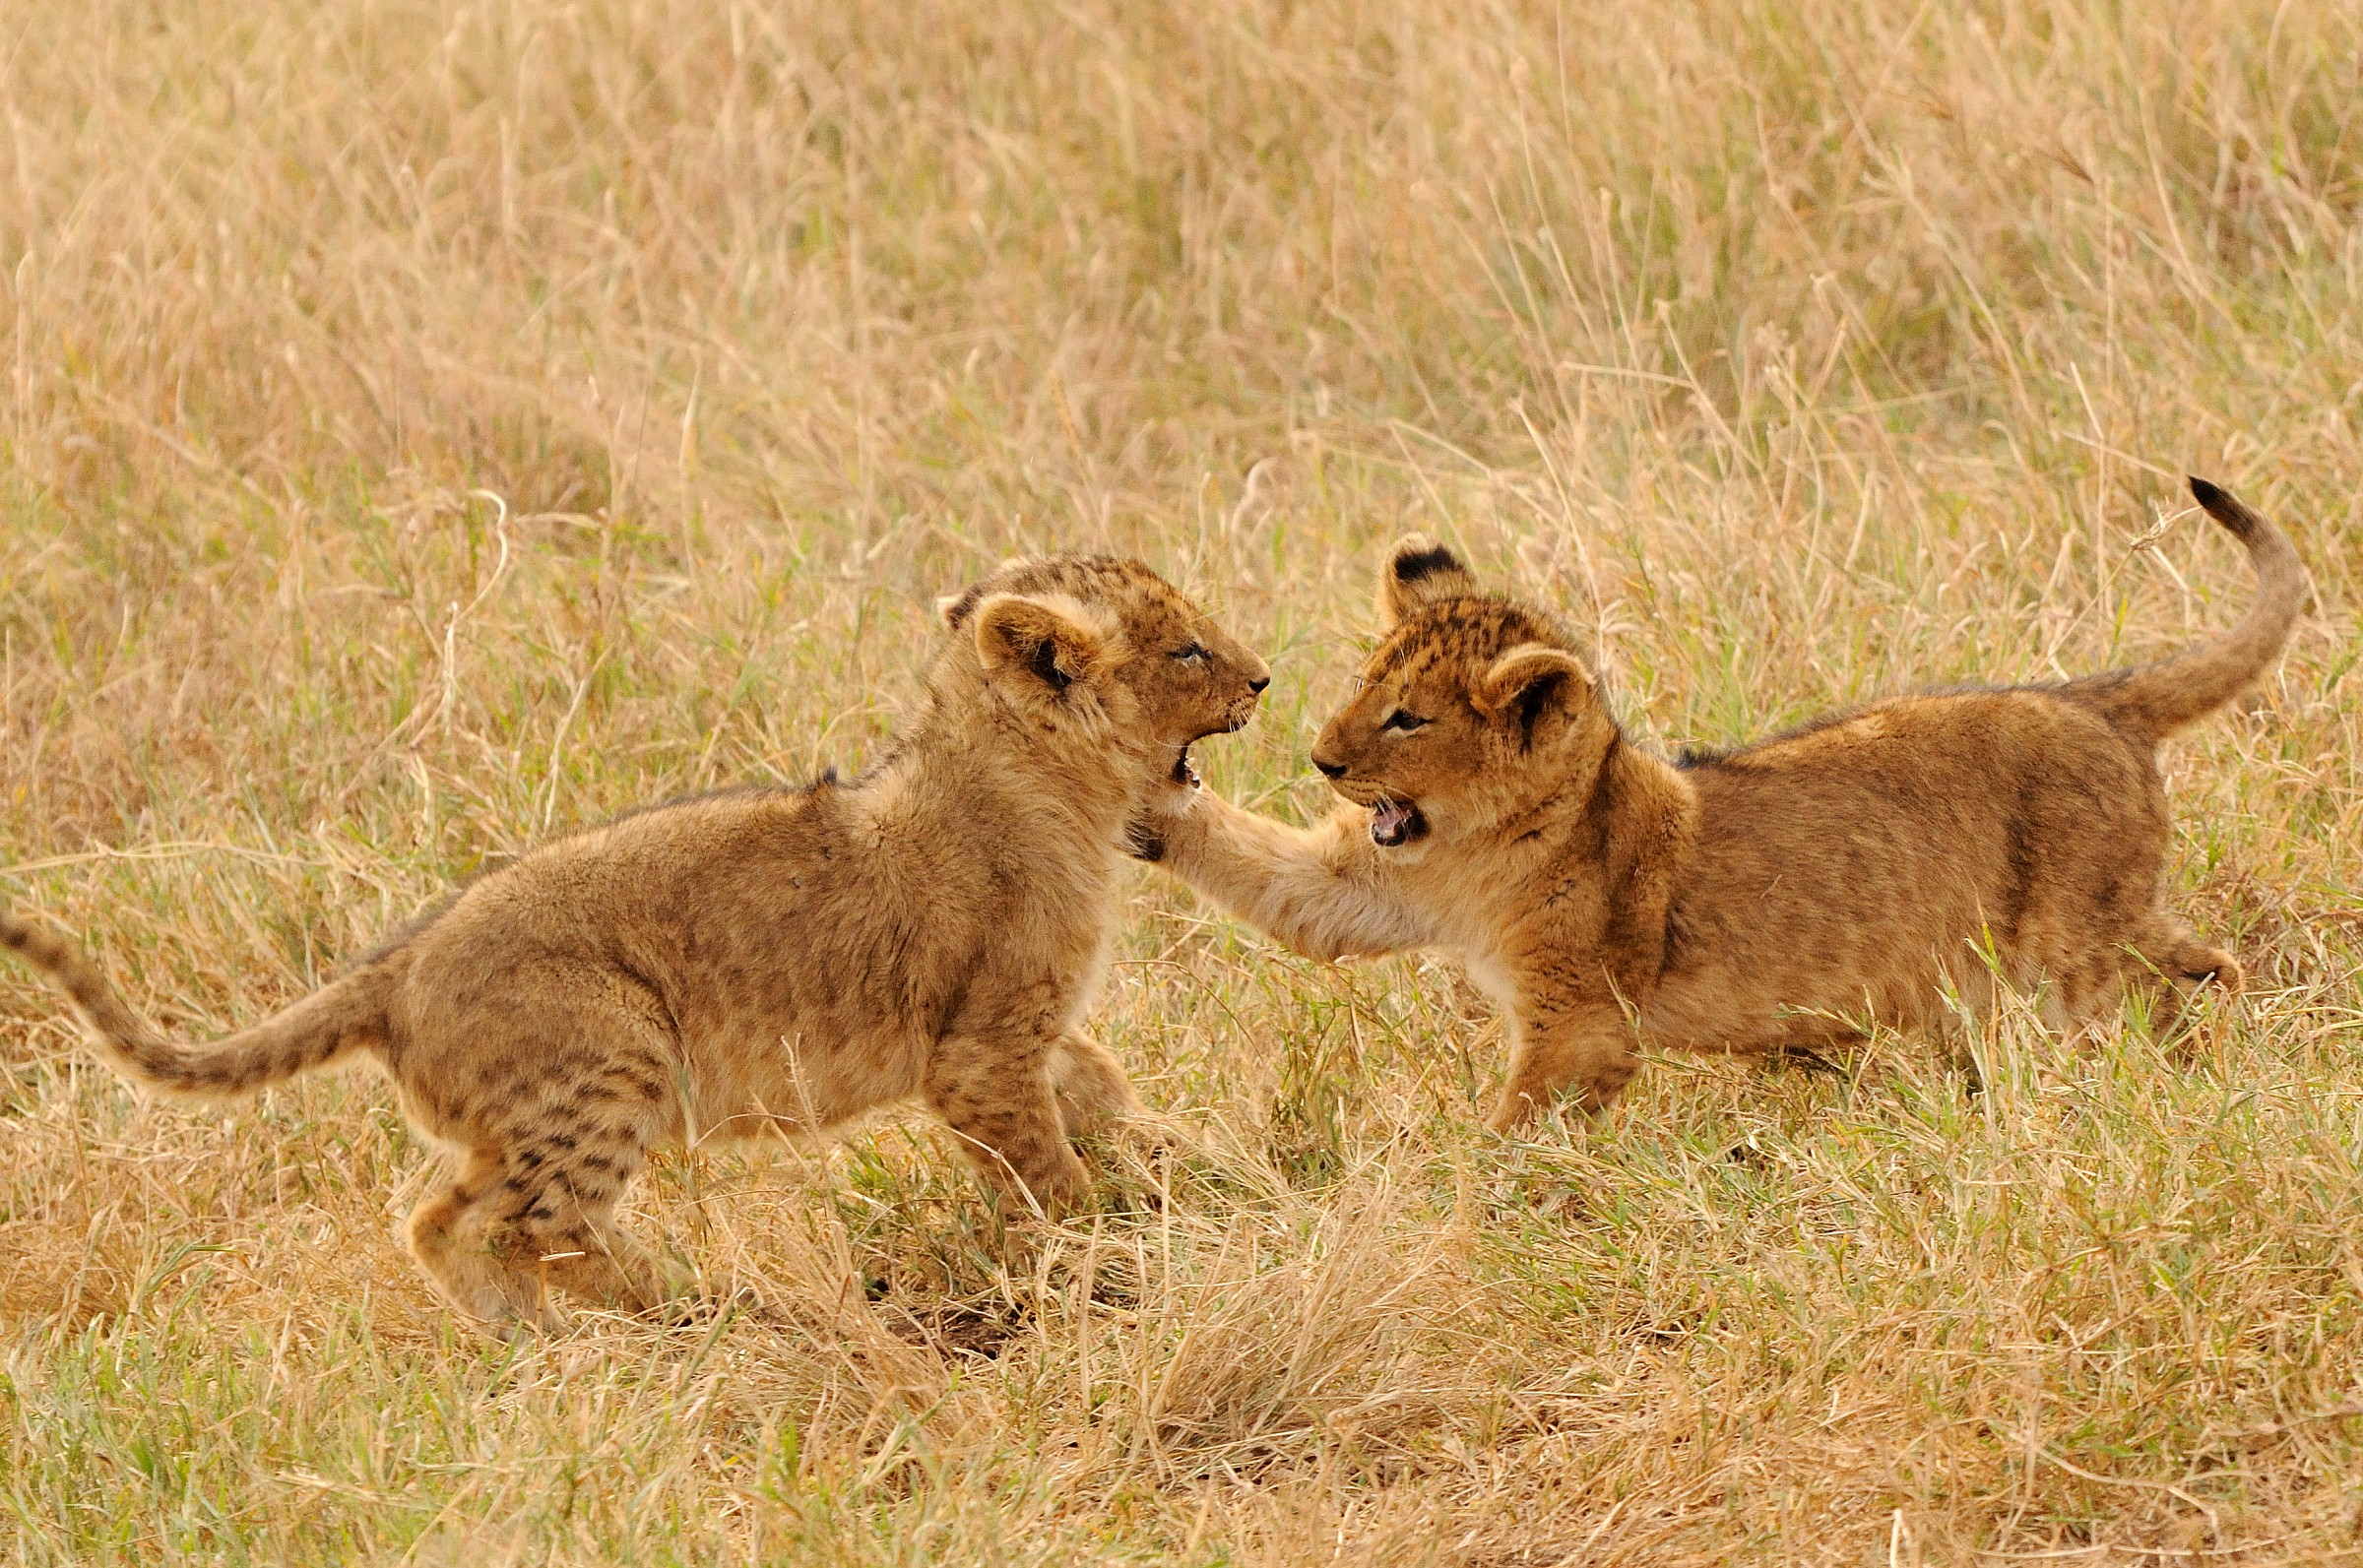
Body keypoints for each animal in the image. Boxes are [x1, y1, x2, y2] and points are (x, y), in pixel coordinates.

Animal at [3, 554, 1269, 1329]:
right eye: (1185, 651)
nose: (1263, 676)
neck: (1041, 782)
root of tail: (398, 965)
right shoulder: (977, 1055)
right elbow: (1048, 1174)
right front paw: (1108, 1256)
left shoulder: (1028, 1035)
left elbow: (1104, 1093)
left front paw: (1194, 1167)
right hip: (612, 1056)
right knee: (541, 1228)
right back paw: (715, 1311)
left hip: (515, 1114)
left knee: (441, 1220)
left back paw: (530, 1349)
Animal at [1133, 478, 2304, 1132]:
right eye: (1364, 683)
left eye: (1407, 718)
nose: (1322, 760)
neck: (1490, 841)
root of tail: (2101, 697)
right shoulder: (1375, 881)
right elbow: (1288, 890)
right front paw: (1149, 800)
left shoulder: (1583, 1025)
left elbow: (1508, 1137)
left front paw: (1452, 1227)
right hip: (2104, 922)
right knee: (2206, 962)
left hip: (2072, 951)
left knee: (2164, 989)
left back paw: (2178, 1090)